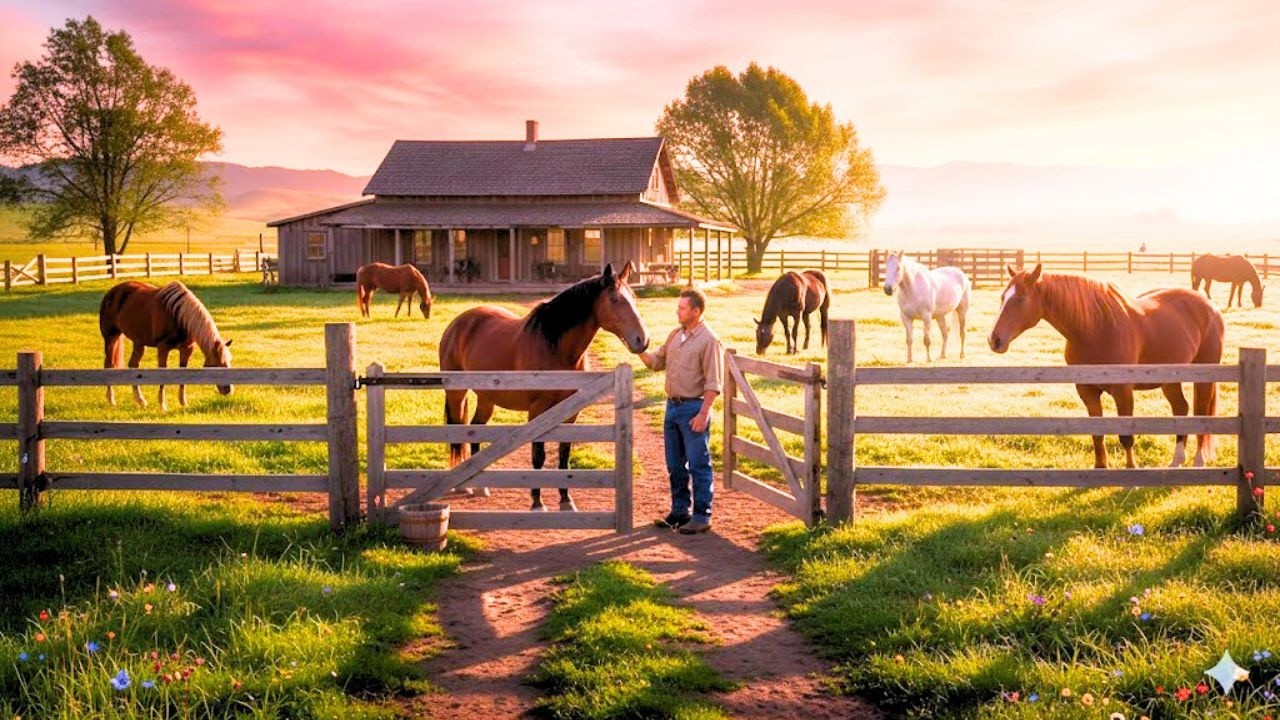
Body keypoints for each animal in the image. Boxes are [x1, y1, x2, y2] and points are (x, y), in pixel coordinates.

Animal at [99, 281, 233, 410]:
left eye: (228, 362)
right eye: (217, 364)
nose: (228, 390)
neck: (178, 315)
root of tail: (111, 292)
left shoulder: (186, 349)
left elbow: (183, 374)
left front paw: (183, 403)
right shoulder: (163, 348)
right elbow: (162, 374)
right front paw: (163, 405)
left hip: (139, 343)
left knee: (133, 366)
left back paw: (140, 400)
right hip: (111, 338)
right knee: (109, 365)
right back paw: (111, 400)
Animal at [438, 261, 649, 511]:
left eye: (634, 297)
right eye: (615, 299)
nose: (642, 340)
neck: (555, 347)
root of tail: (457, 324)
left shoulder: (570, 413)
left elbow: (564, 455)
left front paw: (566, 500)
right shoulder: (537, 410)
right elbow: (538, 455)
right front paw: (537, 503)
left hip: (487, 399)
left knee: (474, 429)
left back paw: (479, 486)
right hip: (456, 393)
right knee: (457, 431)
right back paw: (461, 486)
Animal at [988, 264, 1223, 468]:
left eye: (1020, 299)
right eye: (1002, 297)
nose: (994, 340)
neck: (1096, 329)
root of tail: (1210, 307)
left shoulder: (1123, 392)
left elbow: (1126, 436)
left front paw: (1131, 469)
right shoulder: (1087, 392)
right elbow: (1097, 432)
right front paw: (1100, 467)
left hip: (1204, 377)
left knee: (1201, 413)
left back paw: (1199, 461)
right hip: (1170, 380)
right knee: (1180, 409)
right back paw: (1176, 462)